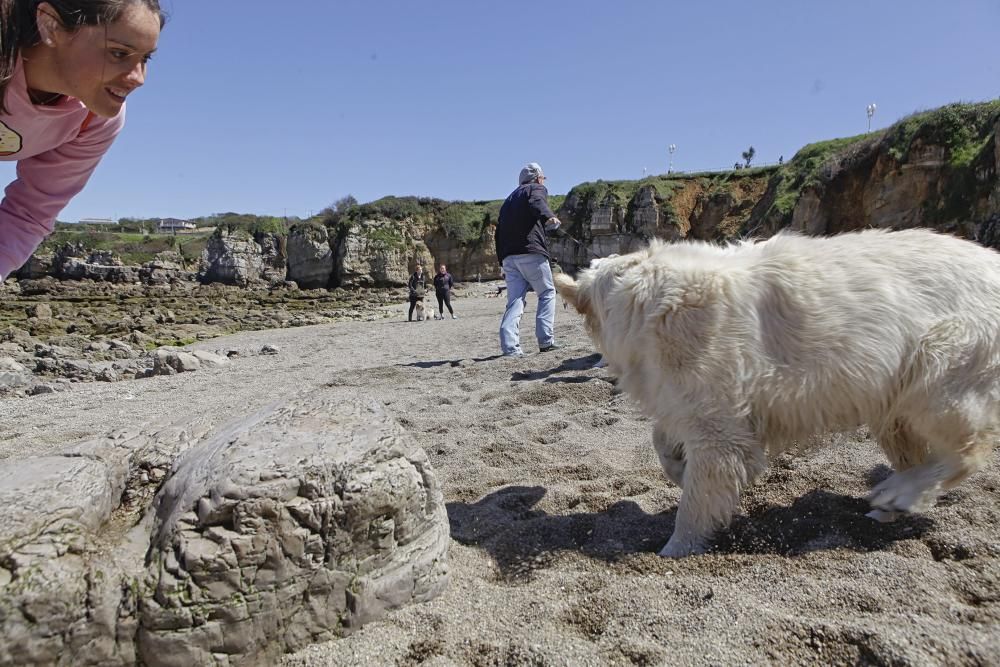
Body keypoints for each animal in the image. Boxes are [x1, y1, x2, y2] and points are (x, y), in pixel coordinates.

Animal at [556, 230, 1000, 560]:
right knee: (905, 432)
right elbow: (665, 436)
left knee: (963, 441)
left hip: (945, 350)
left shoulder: (709, 380)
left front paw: (676, 546)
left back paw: (900, 491)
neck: (643, 299)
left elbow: (708, 468)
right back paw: (891, 503)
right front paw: (679, 469)